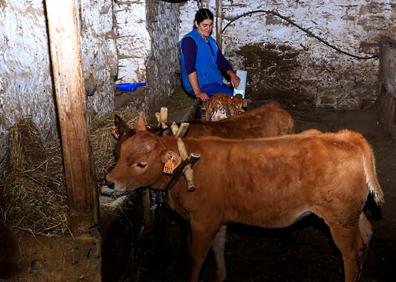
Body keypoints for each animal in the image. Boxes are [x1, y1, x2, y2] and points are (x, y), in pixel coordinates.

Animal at [107, 114, 384, 282]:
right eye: (118, 154)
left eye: (141, 164)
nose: (109, 181)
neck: (186, 168)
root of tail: (345, 136)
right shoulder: (217, 217)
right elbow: (218, 247)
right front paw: (220, 276)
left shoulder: (202, 221)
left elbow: (196, 258)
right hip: (351, 213)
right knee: (366, 234)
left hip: (339, 219)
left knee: (351, 252)